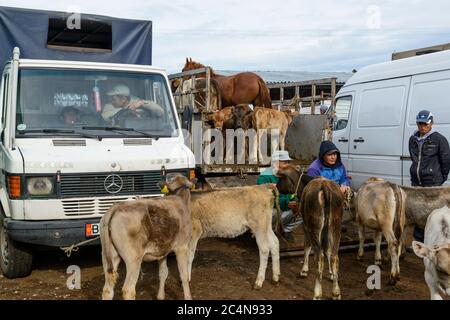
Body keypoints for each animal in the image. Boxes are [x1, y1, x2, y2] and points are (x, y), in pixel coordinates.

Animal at [274, 165, 344, 300]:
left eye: (280, 179)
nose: (276, 188)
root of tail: (325, 186)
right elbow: (327, 250)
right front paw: (331, 273)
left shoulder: (306, 227)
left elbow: (307, 247)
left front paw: (304, 270)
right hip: (335, 227)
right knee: (334, 256)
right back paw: (336, 292)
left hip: (315, 227)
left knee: (319, 257)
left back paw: (317, 293)